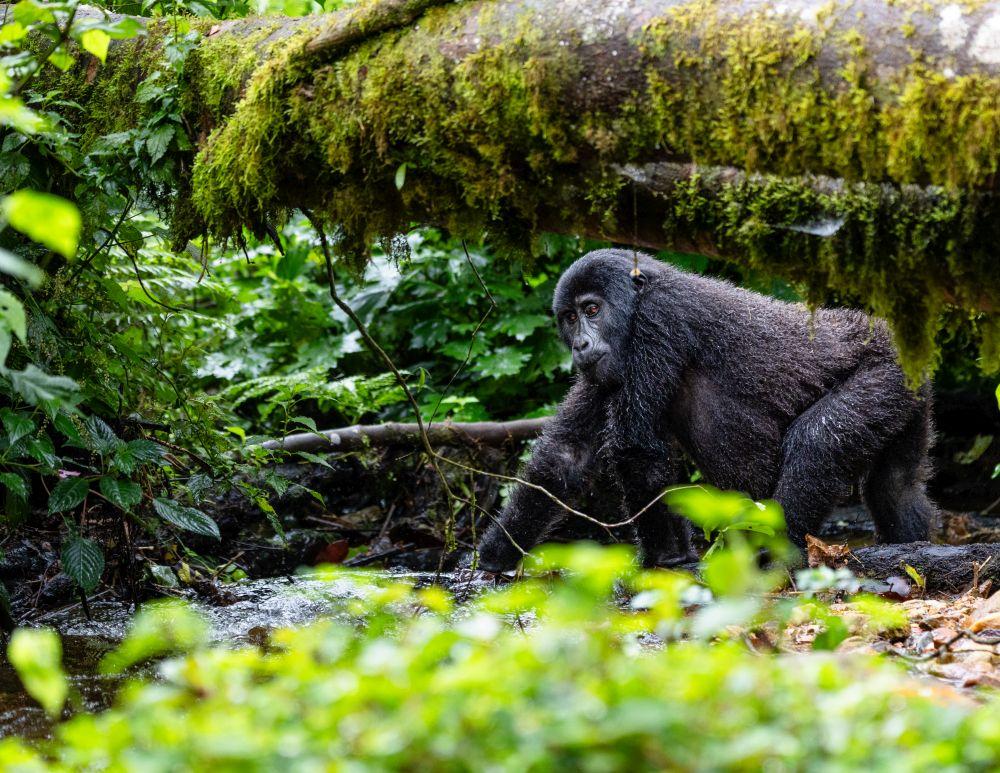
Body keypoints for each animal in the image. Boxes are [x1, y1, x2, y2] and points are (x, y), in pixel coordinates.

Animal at [476, 249, 937, 571]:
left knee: (818, 442)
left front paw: (669, 557)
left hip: (883, 370)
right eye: (569, 318)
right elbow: (565, 455)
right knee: (895, 483)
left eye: (592, 310)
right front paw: (496, 554)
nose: (581, 344)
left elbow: (635, 450)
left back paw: (775, 553)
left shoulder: (657, 319)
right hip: (910, 388)